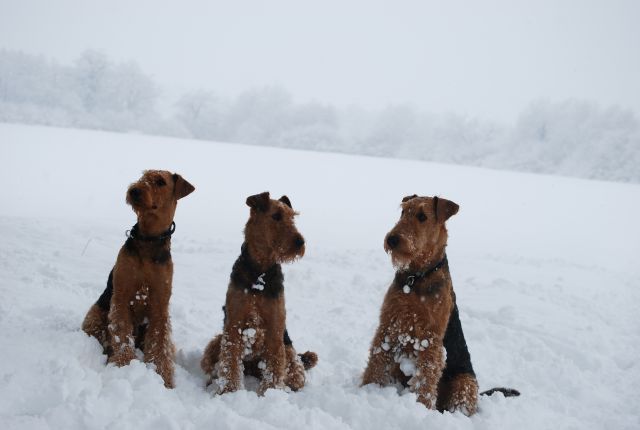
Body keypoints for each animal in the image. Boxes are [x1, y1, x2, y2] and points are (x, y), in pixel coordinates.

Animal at [79, 170, 192, 388]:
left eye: (160, 181)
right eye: (143, 176)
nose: (134, 190)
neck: (149, 239)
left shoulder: (160, 304)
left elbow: (159, 343)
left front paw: (163, 377)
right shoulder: (122, 296)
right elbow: (122, 335)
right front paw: (124, 364)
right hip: (96, 315)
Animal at [362, 197, 516, 414]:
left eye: (422, 216)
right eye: (403, 212)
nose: (392, 239)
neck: (416, 278)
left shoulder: (429, 340)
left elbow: (425, 380)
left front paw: (421, 407)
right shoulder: (389, 326)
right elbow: (376, 362)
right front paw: (365, 389)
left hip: (465, 382)